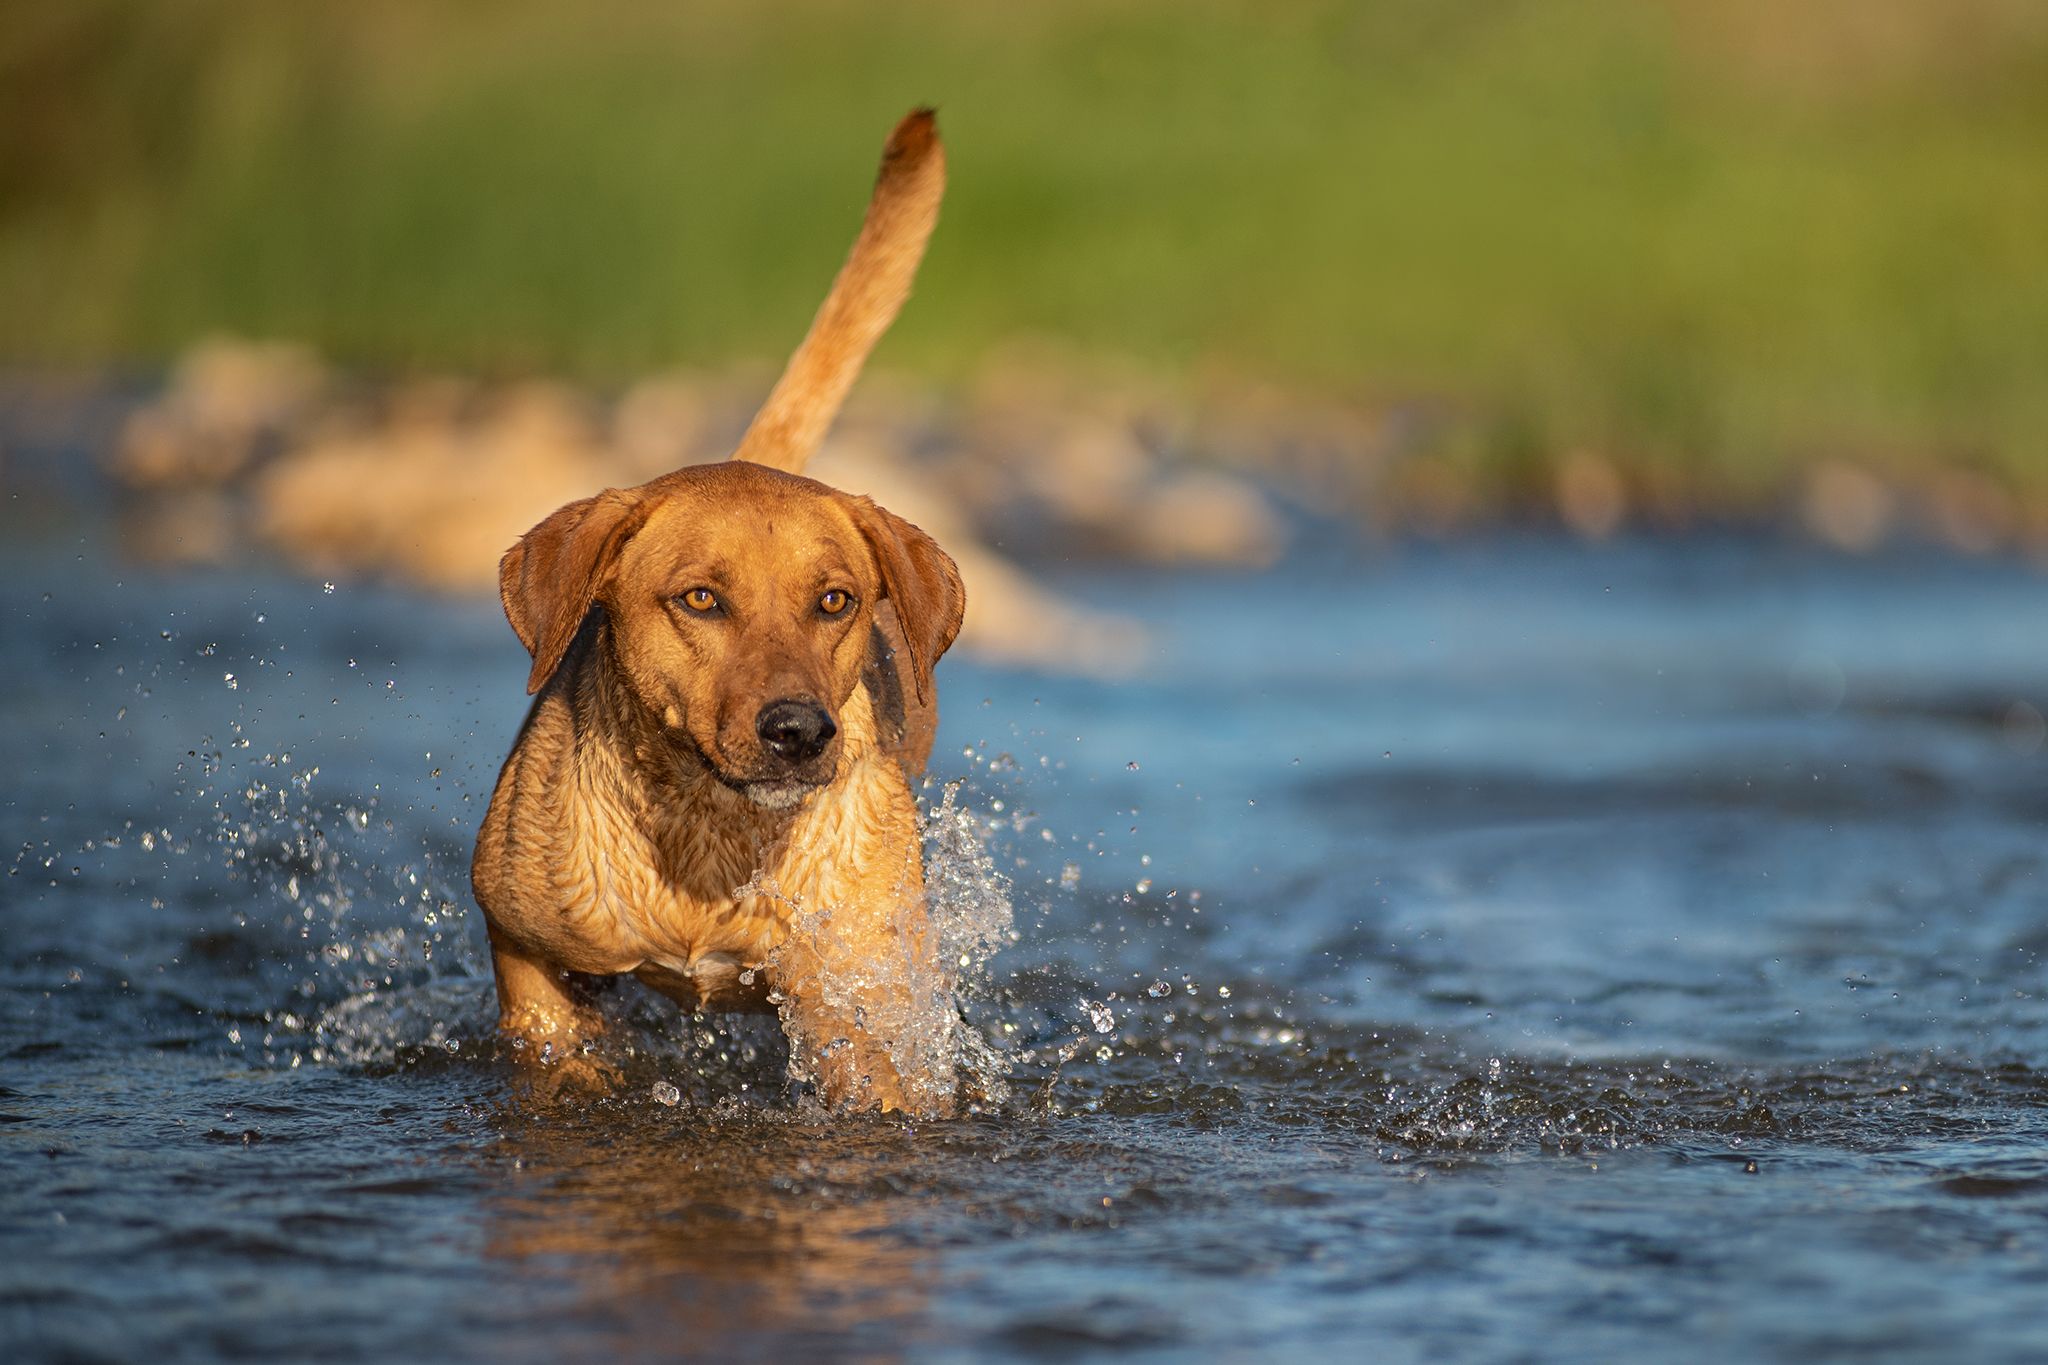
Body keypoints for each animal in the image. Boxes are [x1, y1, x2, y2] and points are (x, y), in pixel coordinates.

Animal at [475, 104, 962, 1113]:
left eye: (835, 600)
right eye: (701, 599)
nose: (798, 730)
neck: (710, 838)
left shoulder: (852, 982)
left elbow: (875, 1073)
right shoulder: (522, 940)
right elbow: (555, 1044)